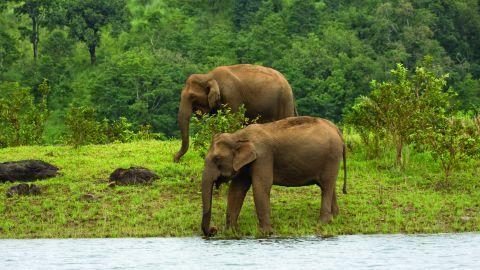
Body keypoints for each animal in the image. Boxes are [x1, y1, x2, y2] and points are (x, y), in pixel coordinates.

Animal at [201, 116, 346, 236]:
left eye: (217, 158)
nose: (214, 230)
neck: (238, 136)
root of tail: (337, 130)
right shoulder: (245, 164)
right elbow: (236, 190)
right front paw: (230, 232)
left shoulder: (263, 156)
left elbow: (261, 186)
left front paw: (266, 233)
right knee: (329, 186)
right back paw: (335, 217)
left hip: (332, 157)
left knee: (326, 186)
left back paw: (323, 222)